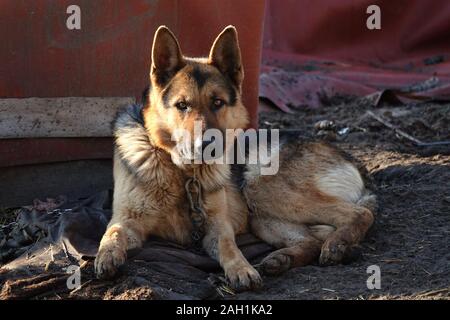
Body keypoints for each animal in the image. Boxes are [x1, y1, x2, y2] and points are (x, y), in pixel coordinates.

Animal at [96, 25, 376, 290]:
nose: (205, 146)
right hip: (263, 216)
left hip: (261, 186)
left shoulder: (218, 227)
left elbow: (229, 247)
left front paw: (242, 270)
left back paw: (338, 244)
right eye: (182, 105)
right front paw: (106, 255)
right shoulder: (126, 220)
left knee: (360, 214)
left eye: (218, 102)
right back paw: (282, 259)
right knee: (310, 241)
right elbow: (112, 234)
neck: (182, 173)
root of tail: (351, 160)